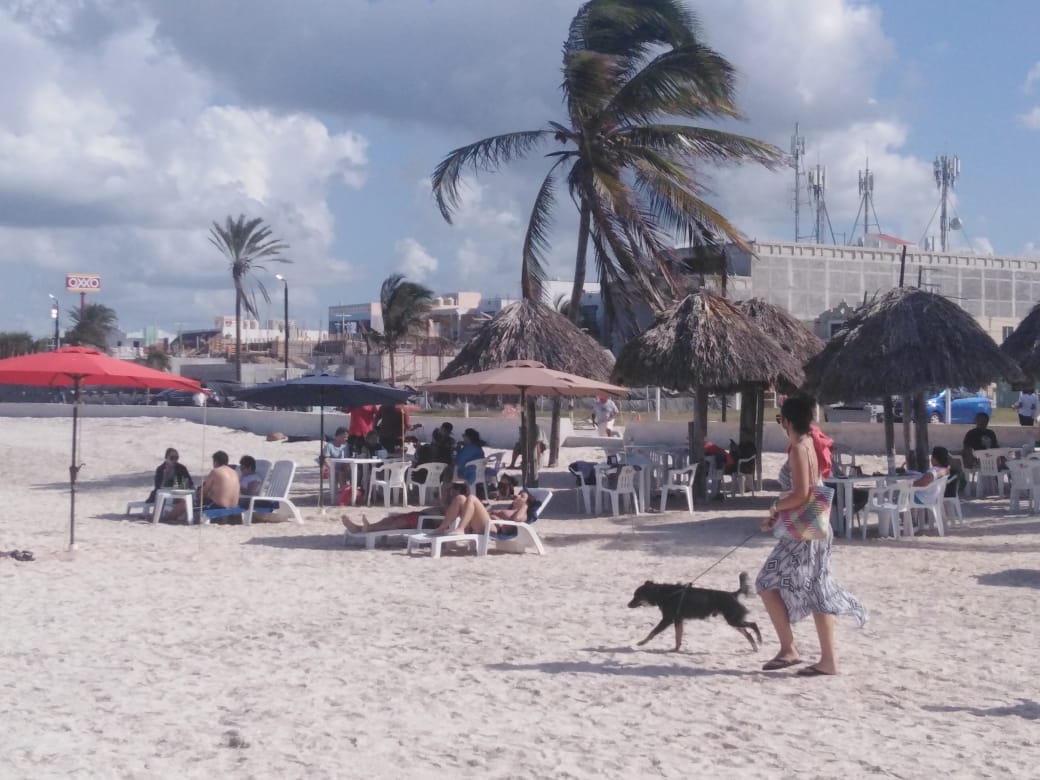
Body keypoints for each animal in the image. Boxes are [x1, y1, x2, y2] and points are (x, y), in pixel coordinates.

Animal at [624, 574, 765, 653]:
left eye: (636, 596)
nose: (627, 605)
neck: (664, 594)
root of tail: (733, 594)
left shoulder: (668, 619)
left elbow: (652, 632)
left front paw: (641, 642)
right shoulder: (678, 620)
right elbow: (678, 637)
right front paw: (676, 649)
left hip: (733, 620)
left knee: (754, 625)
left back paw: (759, 640)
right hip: (734, 621)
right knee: (748, 633)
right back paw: (755, 647)